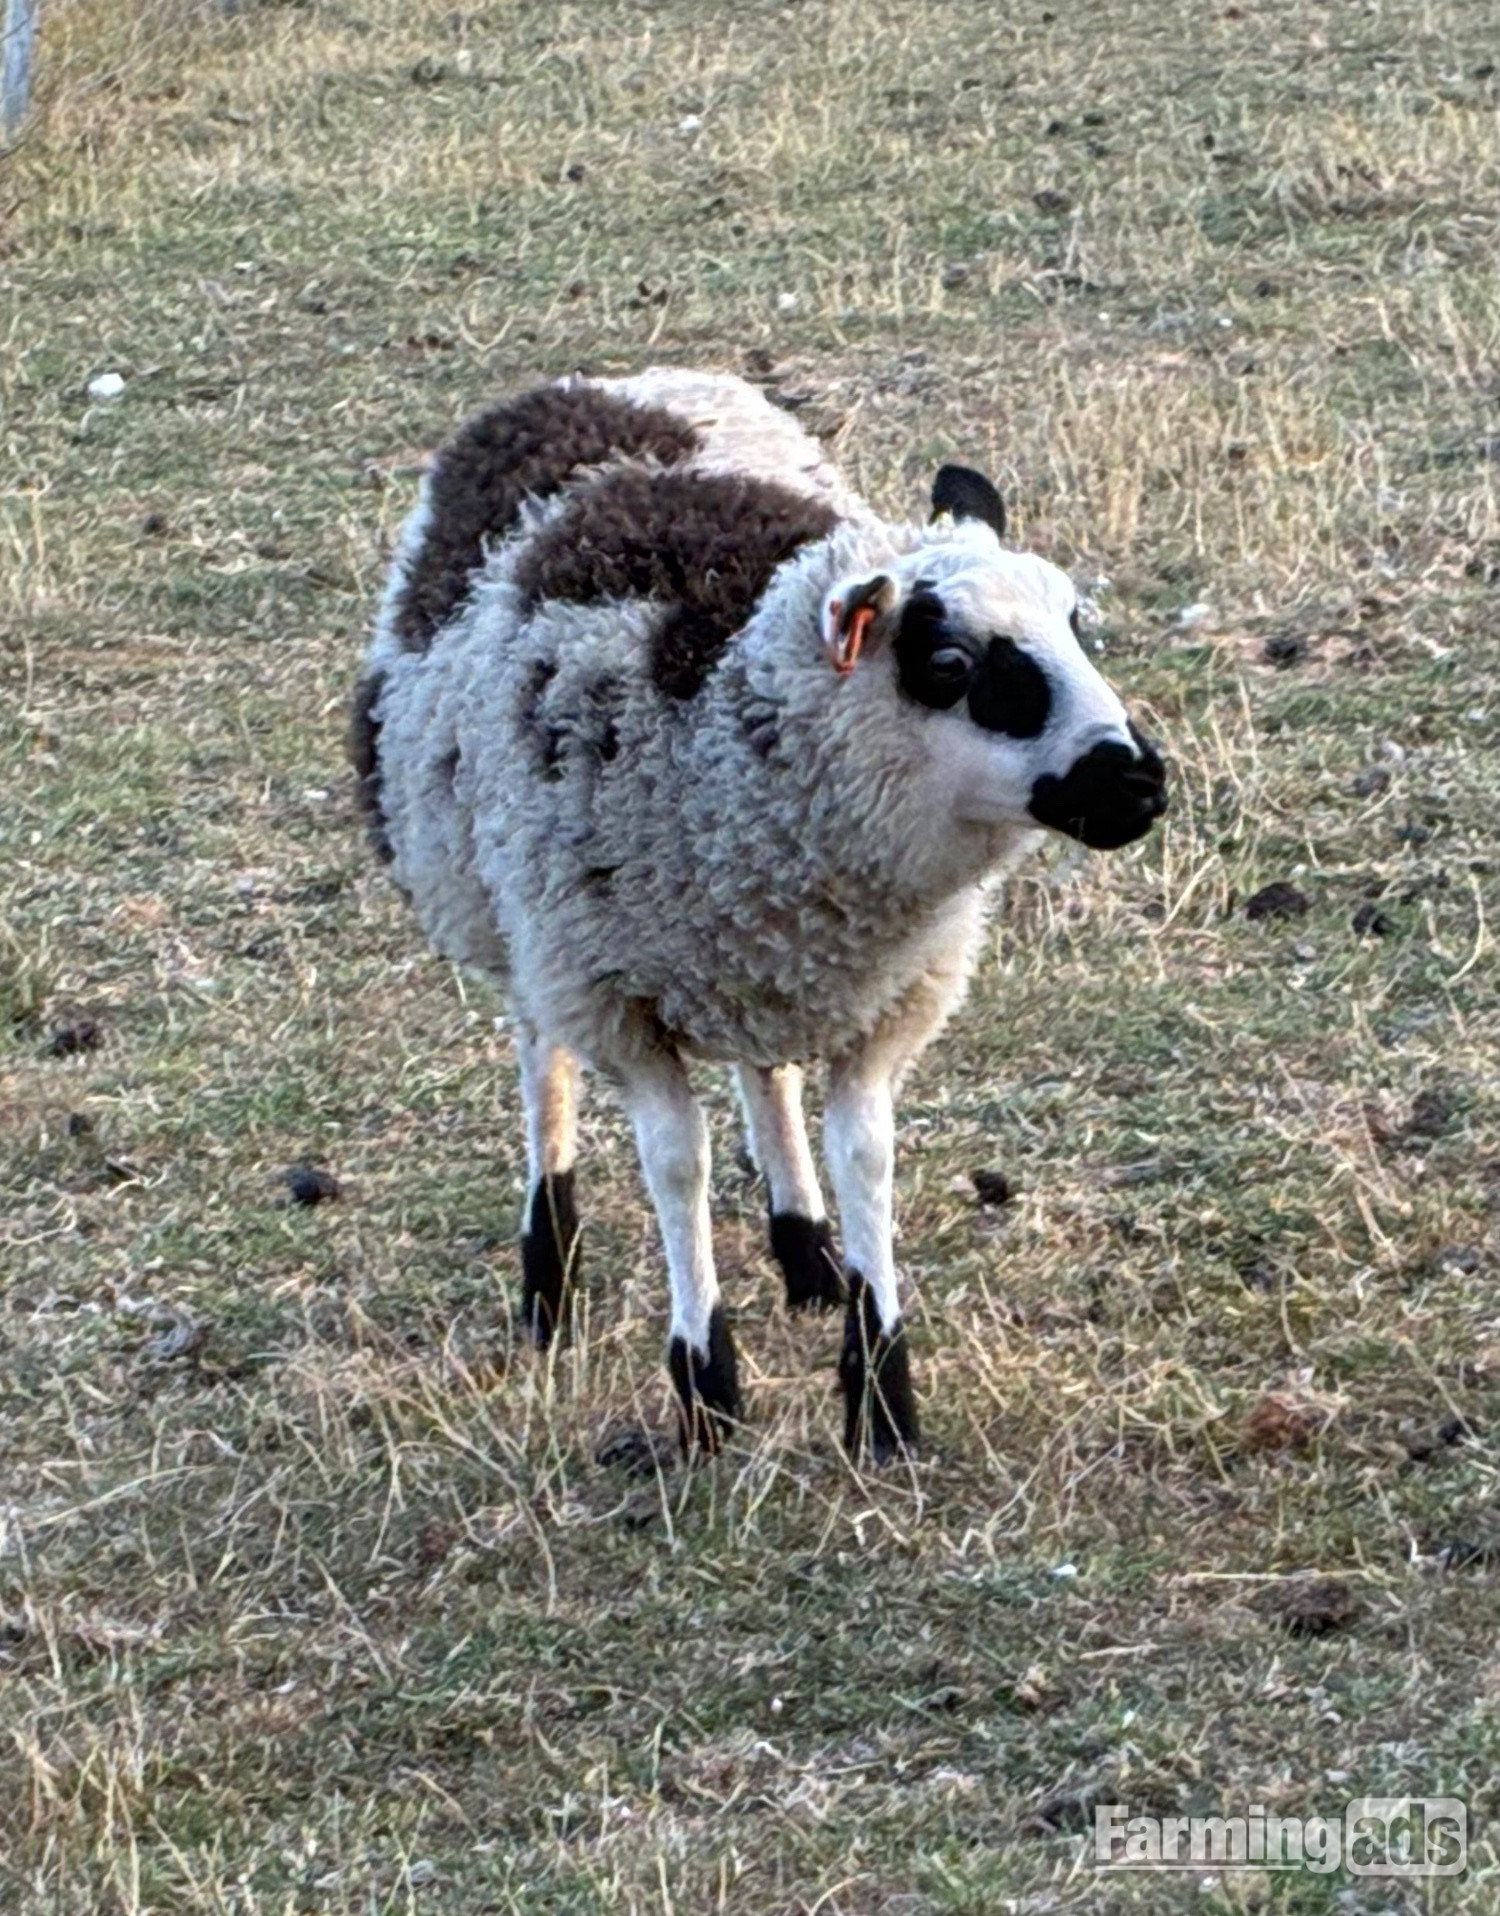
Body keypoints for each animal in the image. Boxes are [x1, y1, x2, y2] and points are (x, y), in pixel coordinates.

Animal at [352, 368, 1167, 1460]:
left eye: (1080, 630)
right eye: (949, 665)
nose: (1139, 782)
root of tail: (596, 380)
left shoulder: (883, 995)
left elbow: (865, 1153)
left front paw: (881, 1388)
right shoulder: (614, 997)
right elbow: (677, 1164)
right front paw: (705, 1381)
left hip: (748, 962)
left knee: (764, 1068)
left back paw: (805, 1248)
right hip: (514, 917)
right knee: (542, 1063)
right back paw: (549, 1272)